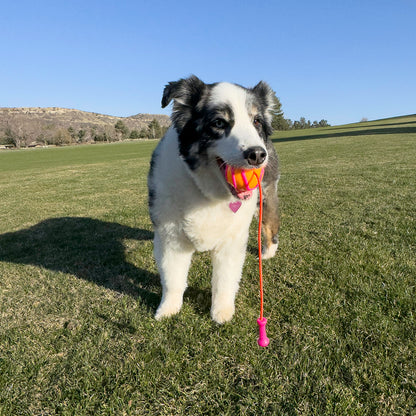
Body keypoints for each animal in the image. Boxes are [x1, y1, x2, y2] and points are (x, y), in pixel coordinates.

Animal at [147, 76, 280, 324]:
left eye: (256, 121)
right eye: (219, 123)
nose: (257, 154)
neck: (208, 193)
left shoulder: (232, 241)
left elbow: (224, 281)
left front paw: (222, 312)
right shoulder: (170, 238)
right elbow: (172, 279)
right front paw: (168, 309)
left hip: (267, 196)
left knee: (270, 224)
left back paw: (268, 251)